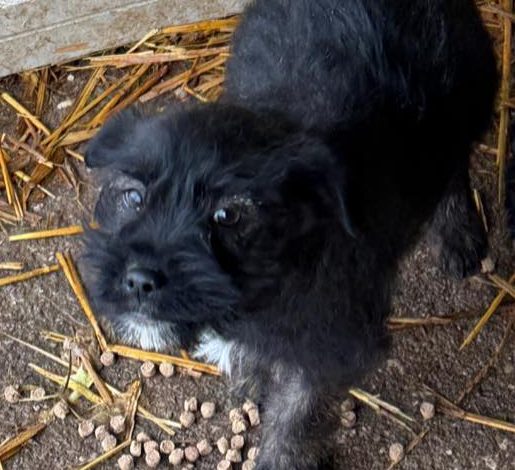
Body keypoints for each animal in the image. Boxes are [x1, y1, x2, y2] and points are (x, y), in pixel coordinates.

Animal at [83, 0, 498, 468]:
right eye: (133, 197)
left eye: (228, 215)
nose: (139, 280)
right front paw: (250, 375)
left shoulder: (326, 352)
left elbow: (295, 422)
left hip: (469, 100)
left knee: (455, 163)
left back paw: (459, 234)